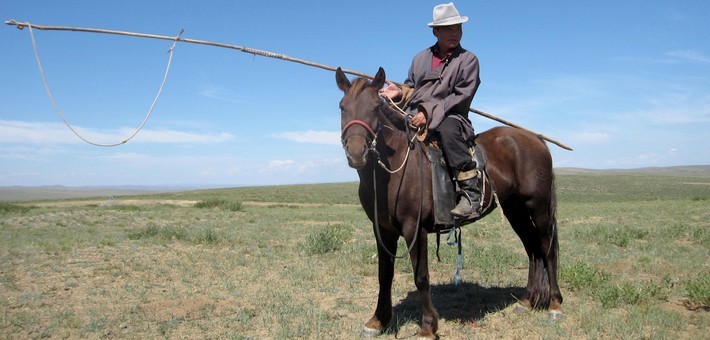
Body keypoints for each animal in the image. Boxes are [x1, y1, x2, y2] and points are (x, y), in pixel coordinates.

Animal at [336, 66, 564, 338]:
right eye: (342, 107)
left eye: (374, 108)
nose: (356, 153)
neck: (393, 171)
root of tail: (536, 138)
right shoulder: (382, 229)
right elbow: (384, 274)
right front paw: (378, 321)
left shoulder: (415, 228)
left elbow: (421, 276)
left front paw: (428, 326)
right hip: (515, 209)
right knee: (532, 248)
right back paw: (527, 301)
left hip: (537, 207)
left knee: (547, 248)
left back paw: (555, 304)